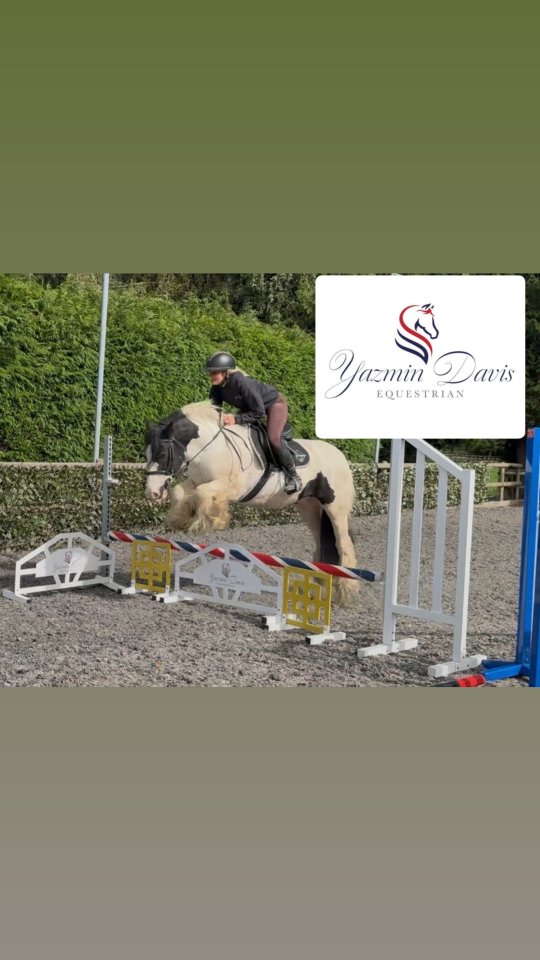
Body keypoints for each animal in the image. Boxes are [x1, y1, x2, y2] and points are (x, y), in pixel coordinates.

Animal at [144, 401, 358, 605]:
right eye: (147, 456)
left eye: (161, 455)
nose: (152, 493)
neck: (212, 449)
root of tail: (340, 456)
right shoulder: (196, 481)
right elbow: (180, 491)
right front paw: (181, 519)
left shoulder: (234, 487)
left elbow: (202, 493)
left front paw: (213, 520)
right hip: (309, 507)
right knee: (321, 540)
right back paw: (322, 578)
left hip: (334, 507)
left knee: (343, 543)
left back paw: (346, 589)